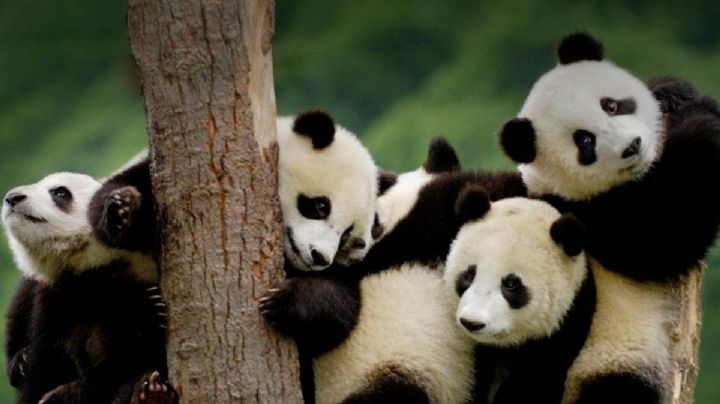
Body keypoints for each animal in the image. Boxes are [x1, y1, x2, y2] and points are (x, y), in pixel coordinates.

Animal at [497, 32, 720, 403]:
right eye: (585, 141)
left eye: (611, 105)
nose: (632, 146)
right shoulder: (585, 217)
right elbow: (663, 232)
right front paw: (705, 116)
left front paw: (672, 91)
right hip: (608, 359)